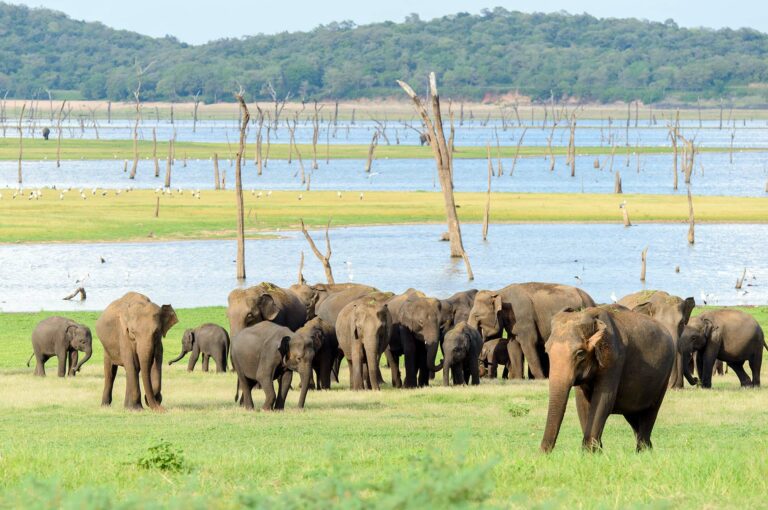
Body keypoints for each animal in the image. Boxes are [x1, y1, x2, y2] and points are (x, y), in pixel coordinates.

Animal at [464, 282, 596, 378]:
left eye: (476, 316)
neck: (499, 293)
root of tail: (591, 299)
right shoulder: (514, 322)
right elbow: (513, 346)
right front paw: (518, 379)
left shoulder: (524, 318)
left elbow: (529, 344)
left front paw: (541, 379)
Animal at [540, 304, 672, 452]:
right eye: (546, 351)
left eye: (580, 354)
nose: (542, 453)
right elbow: (582, 404)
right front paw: (596, 452)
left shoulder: (613, 359)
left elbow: (603, 400)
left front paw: (589, 452)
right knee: (633, 415)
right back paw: (647, 450)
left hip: (664, 377)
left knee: (650, 412)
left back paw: (643, 450)